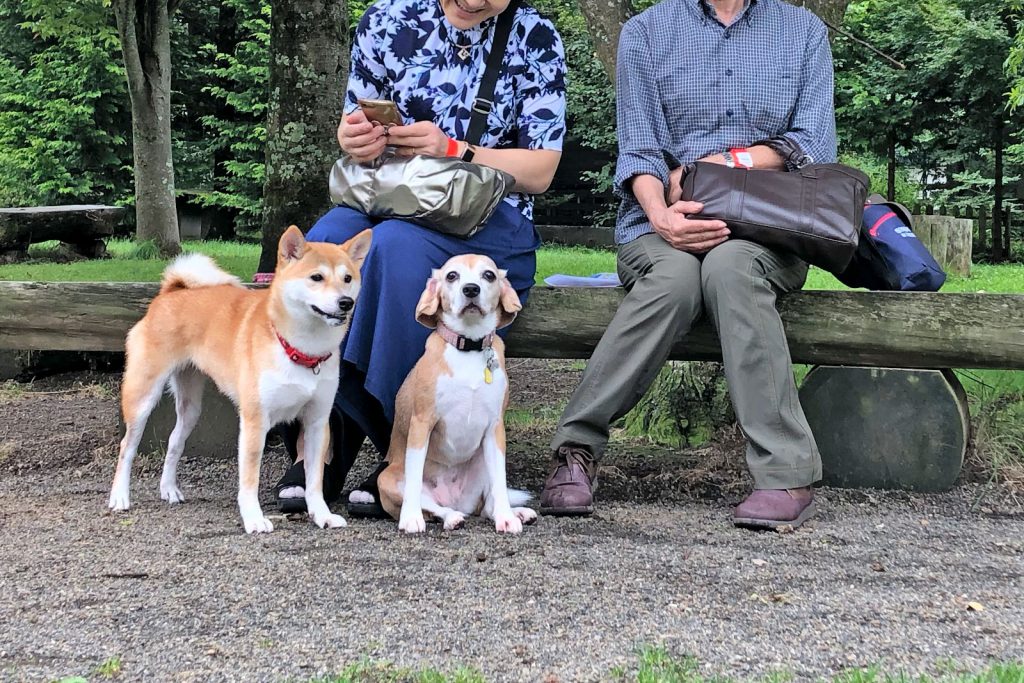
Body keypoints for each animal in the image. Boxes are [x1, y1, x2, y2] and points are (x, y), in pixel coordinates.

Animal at [110, 225, 372, 532]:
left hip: (191, 408)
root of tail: (170, 292)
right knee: (127, 447)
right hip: (143, 397)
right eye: (316, 277)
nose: (346, 302)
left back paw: (169, 490)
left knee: (174, 442)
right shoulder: (255, 421)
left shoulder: (318, 421)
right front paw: (254, 518)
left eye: (348, 278)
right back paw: (119, 496)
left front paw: (321, 514)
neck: (301, 350)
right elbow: (250, 479)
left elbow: (314, 481)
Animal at [376, 254, 536, 532]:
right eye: (452, 276)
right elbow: (414, 480)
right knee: (436, 508)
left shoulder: (495, 429)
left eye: (488, 275)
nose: (471, 289)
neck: (469, 347)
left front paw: (506, 517)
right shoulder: (422, 423)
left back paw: (513, 513)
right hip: (387, 479)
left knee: (487, 506)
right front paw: (411, 517)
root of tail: (457, 501)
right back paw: (449, 517)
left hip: (484, 460)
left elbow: (500, 482)